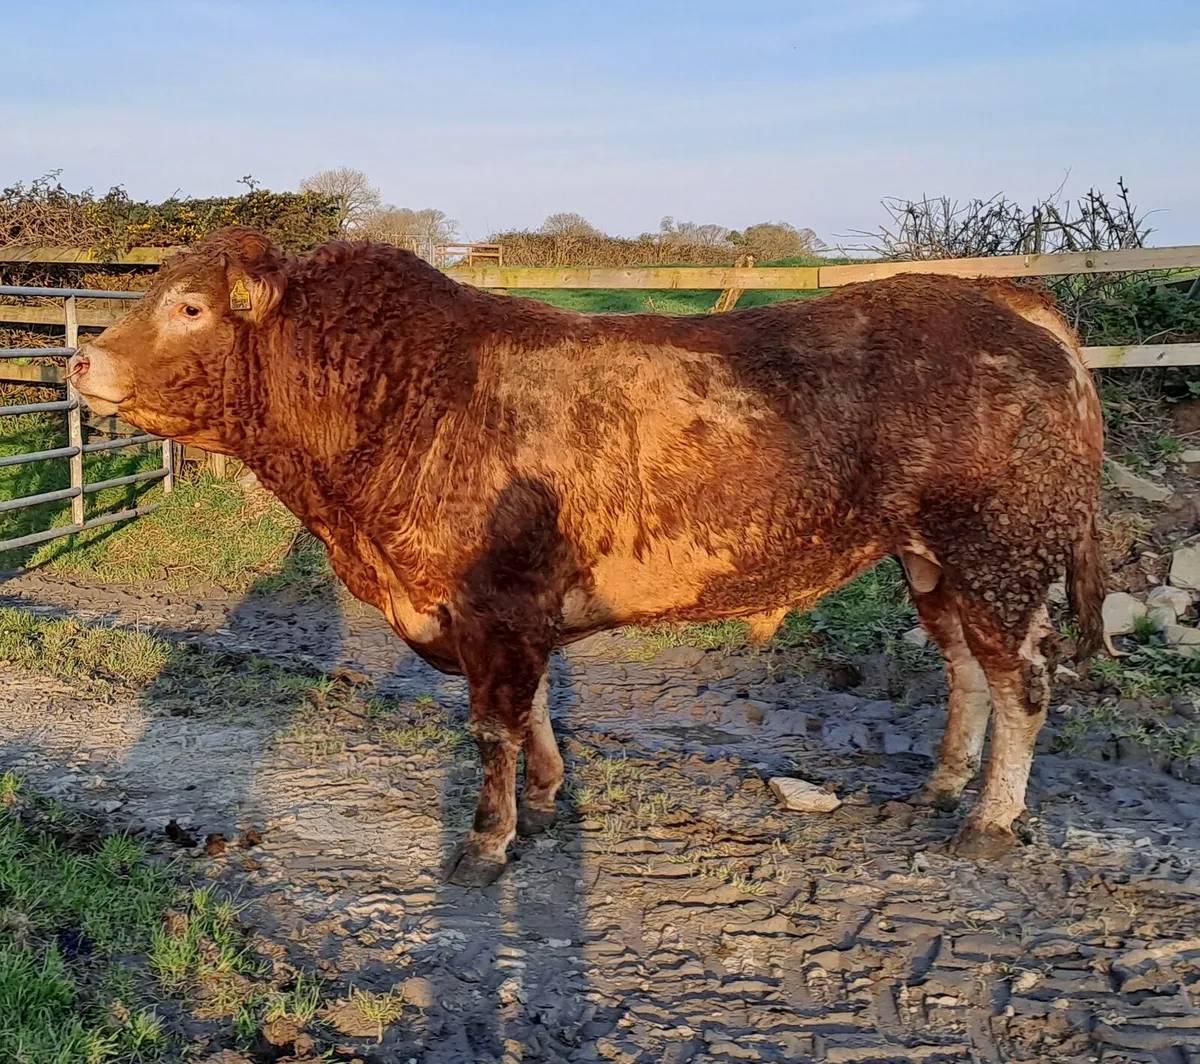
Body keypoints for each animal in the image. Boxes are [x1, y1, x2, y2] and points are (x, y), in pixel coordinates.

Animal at [68, 228, 1105, 887]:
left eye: (190, 306)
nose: (80, 360)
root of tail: (1004, 298)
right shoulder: (509, 615)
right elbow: (529, 714)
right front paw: (547, 797)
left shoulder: (494, 603)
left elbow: (493, 725)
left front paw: (487, 842)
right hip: (932, 561)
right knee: (965, 667)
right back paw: (942, 783)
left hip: (1001, 550)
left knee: (1023, 681)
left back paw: (987, 822)